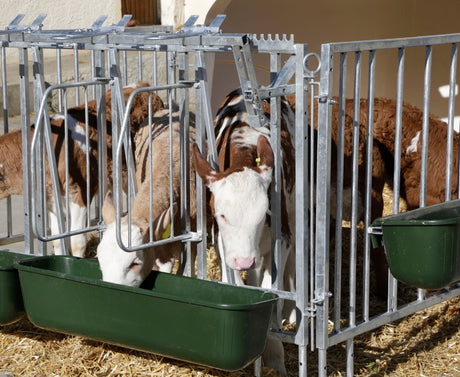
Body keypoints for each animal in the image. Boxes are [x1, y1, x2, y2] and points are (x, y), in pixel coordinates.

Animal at [191, 89, 294, 376]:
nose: (244, 260)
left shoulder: (282, 236)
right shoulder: (222, 243)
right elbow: (237, 285)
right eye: (221, 215)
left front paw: (275, 356)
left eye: (263, 214)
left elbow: (272, 292)